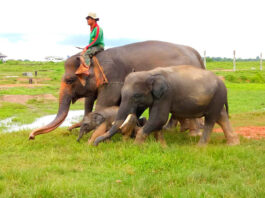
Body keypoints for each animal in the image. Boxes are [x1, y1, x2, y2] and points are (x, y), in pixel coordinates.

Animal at [30, 40, 204, 139]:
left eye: (70, 80)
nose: (31, 136)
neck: (95, 59)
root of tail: (198, 55)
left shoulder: (113, 79)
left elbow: (104, 105)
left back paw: (194, 133)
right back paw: (177, 130)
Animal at [93, 65, 239, 145]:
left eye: (136, 96)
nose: (95, 144)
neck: (150, 73)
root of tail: (223, 83)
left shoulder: (166, 95)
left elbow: (159, 118)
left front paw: (136, 146)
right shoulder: (158, 98)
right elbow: (156, 120)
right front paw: (162, 146)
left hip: (217, 98)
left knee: (211, 120)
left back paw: (199, 147)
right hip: (216, 99)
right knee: (221, 117)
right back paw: (233, 144)